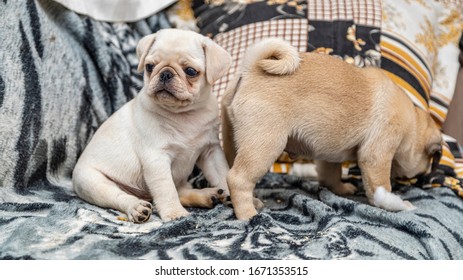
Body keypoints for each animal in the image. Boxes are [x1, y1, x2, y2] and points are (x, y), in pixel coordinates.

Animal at [72, 29, 232, 223]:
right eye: (149, 66)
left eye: (191, 71)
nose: (165, 73)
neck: (185, 115)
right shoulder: (156, 159)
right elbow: (166, 190)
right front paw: (175, 214)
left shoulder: (211, 151)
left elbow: (221, 174)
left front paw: (236, 197)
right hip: (93, 183)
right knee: (120, 196)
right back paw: (137, 208)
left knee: (181, 190)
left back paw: (208, 195)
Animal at [223, 37, 444, 221]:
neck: (413, 123)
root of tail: (250, 69)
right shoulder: (377, 154)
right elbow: (380, 189)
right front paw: (399, 204)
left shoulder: (329, 155)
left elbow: (331, 174)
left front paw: (341, 189)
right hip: (265, 144)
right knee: (238, 179)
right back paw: (248, 215)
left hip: (234, 142)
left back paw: (252, 201)